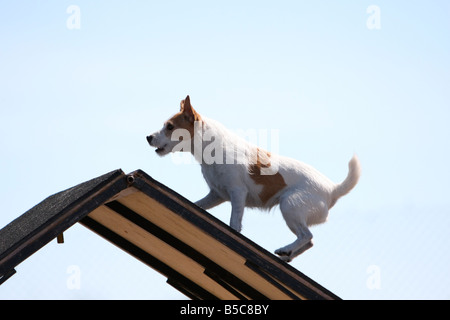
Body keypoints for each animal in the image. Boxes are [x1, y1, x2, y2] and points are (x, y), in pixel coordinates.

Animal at [148, 95, 362, 262]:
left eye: (169, 126)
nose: (148, 137)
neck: (211, 147)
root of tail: (332, 189)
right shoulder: (217, 195)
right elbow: (198, 205)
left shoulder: (237, 193)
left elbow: (234, 223)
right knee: (309, 241)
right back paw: (288, 254)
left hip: (290, 205)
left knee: (307, 235)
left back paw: (287, 249)